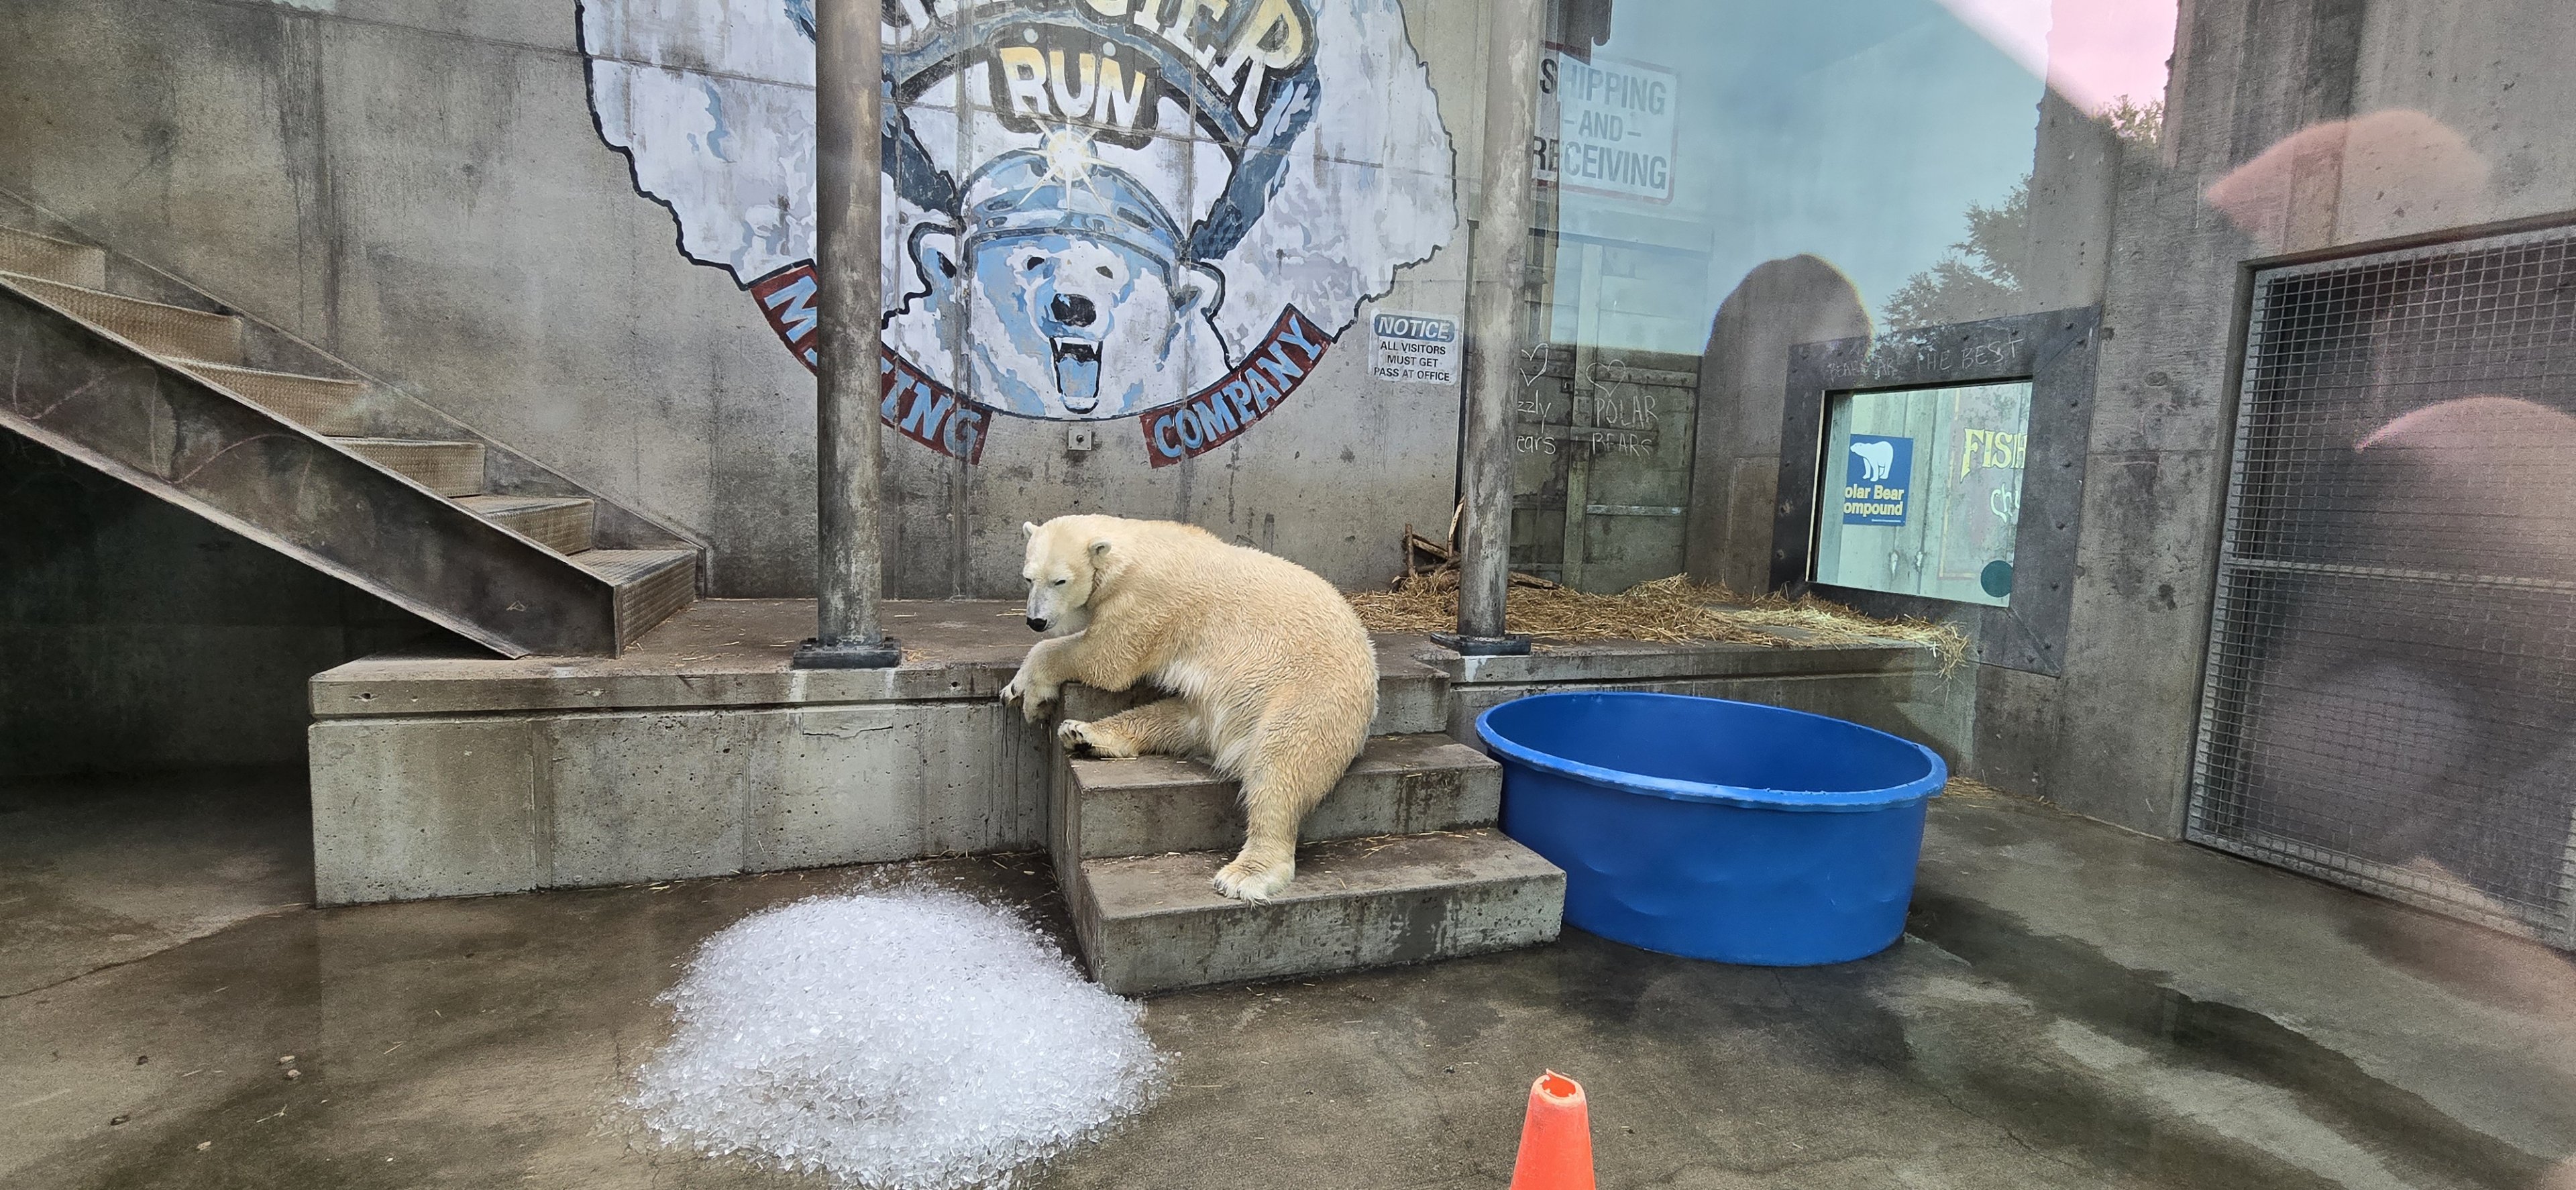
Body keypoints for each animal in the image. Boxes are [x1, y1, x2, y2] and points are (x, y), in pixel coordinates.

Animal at [999, 514, 1378, 902]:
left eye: (1060, 580)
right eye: (1028, 578)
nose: (1036, 621)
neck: (1134, 549)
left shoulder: (1145, 600)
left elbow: (1107, 659)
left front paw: (1028, 692)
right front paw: (1024, 691)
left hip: (1310, 695)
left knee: (1282, 764)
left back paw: (1247, 874)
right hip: (1223, 706)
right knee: (1177, 717)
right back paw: (1085, 734)